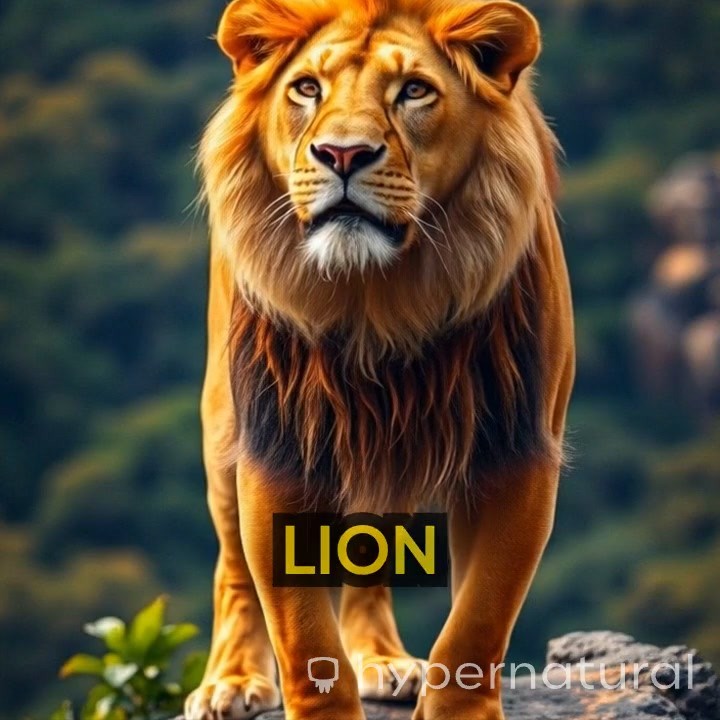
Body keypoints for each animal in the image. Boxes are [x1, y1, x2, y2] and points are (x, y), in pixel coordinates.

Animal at [186, 1, 575, 719]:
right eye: (307, 88)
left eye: (414, 91)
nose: (343, 153)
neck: (378, 300)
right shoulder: (278, 449)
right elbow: (306, 643)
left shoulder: (518, 450)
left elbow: (477, 624)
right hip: (224, 424)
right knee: (232, 567)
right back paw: (231, 680)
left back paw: (383, 661)